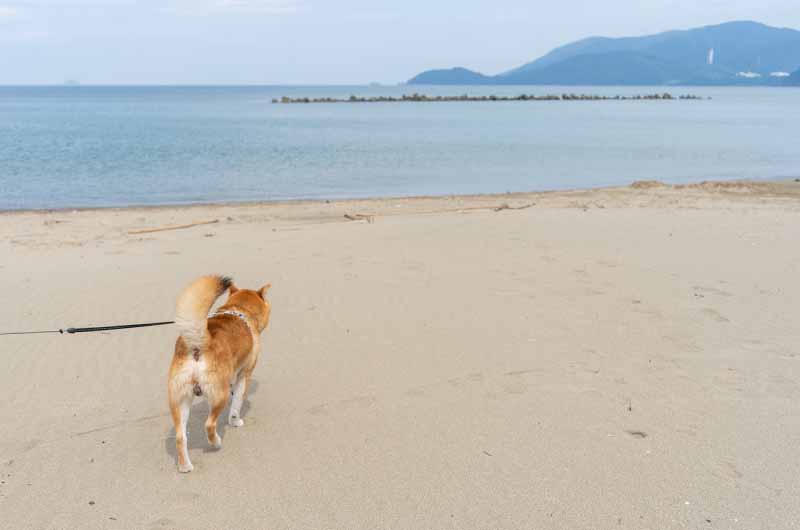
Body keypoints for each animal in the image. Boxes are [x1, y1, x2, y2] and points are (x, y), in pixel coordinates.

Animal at [167, 274, 270, 468]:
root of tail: (198, 346)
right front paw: (235, 421)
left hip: (179, 399)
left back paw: (185, 466)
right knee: (209, 424)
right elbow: (236, 405)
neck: (239, 311)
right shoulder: (244, 375)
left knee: (179, 436)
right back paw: (216, 443)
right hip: (220, 394)